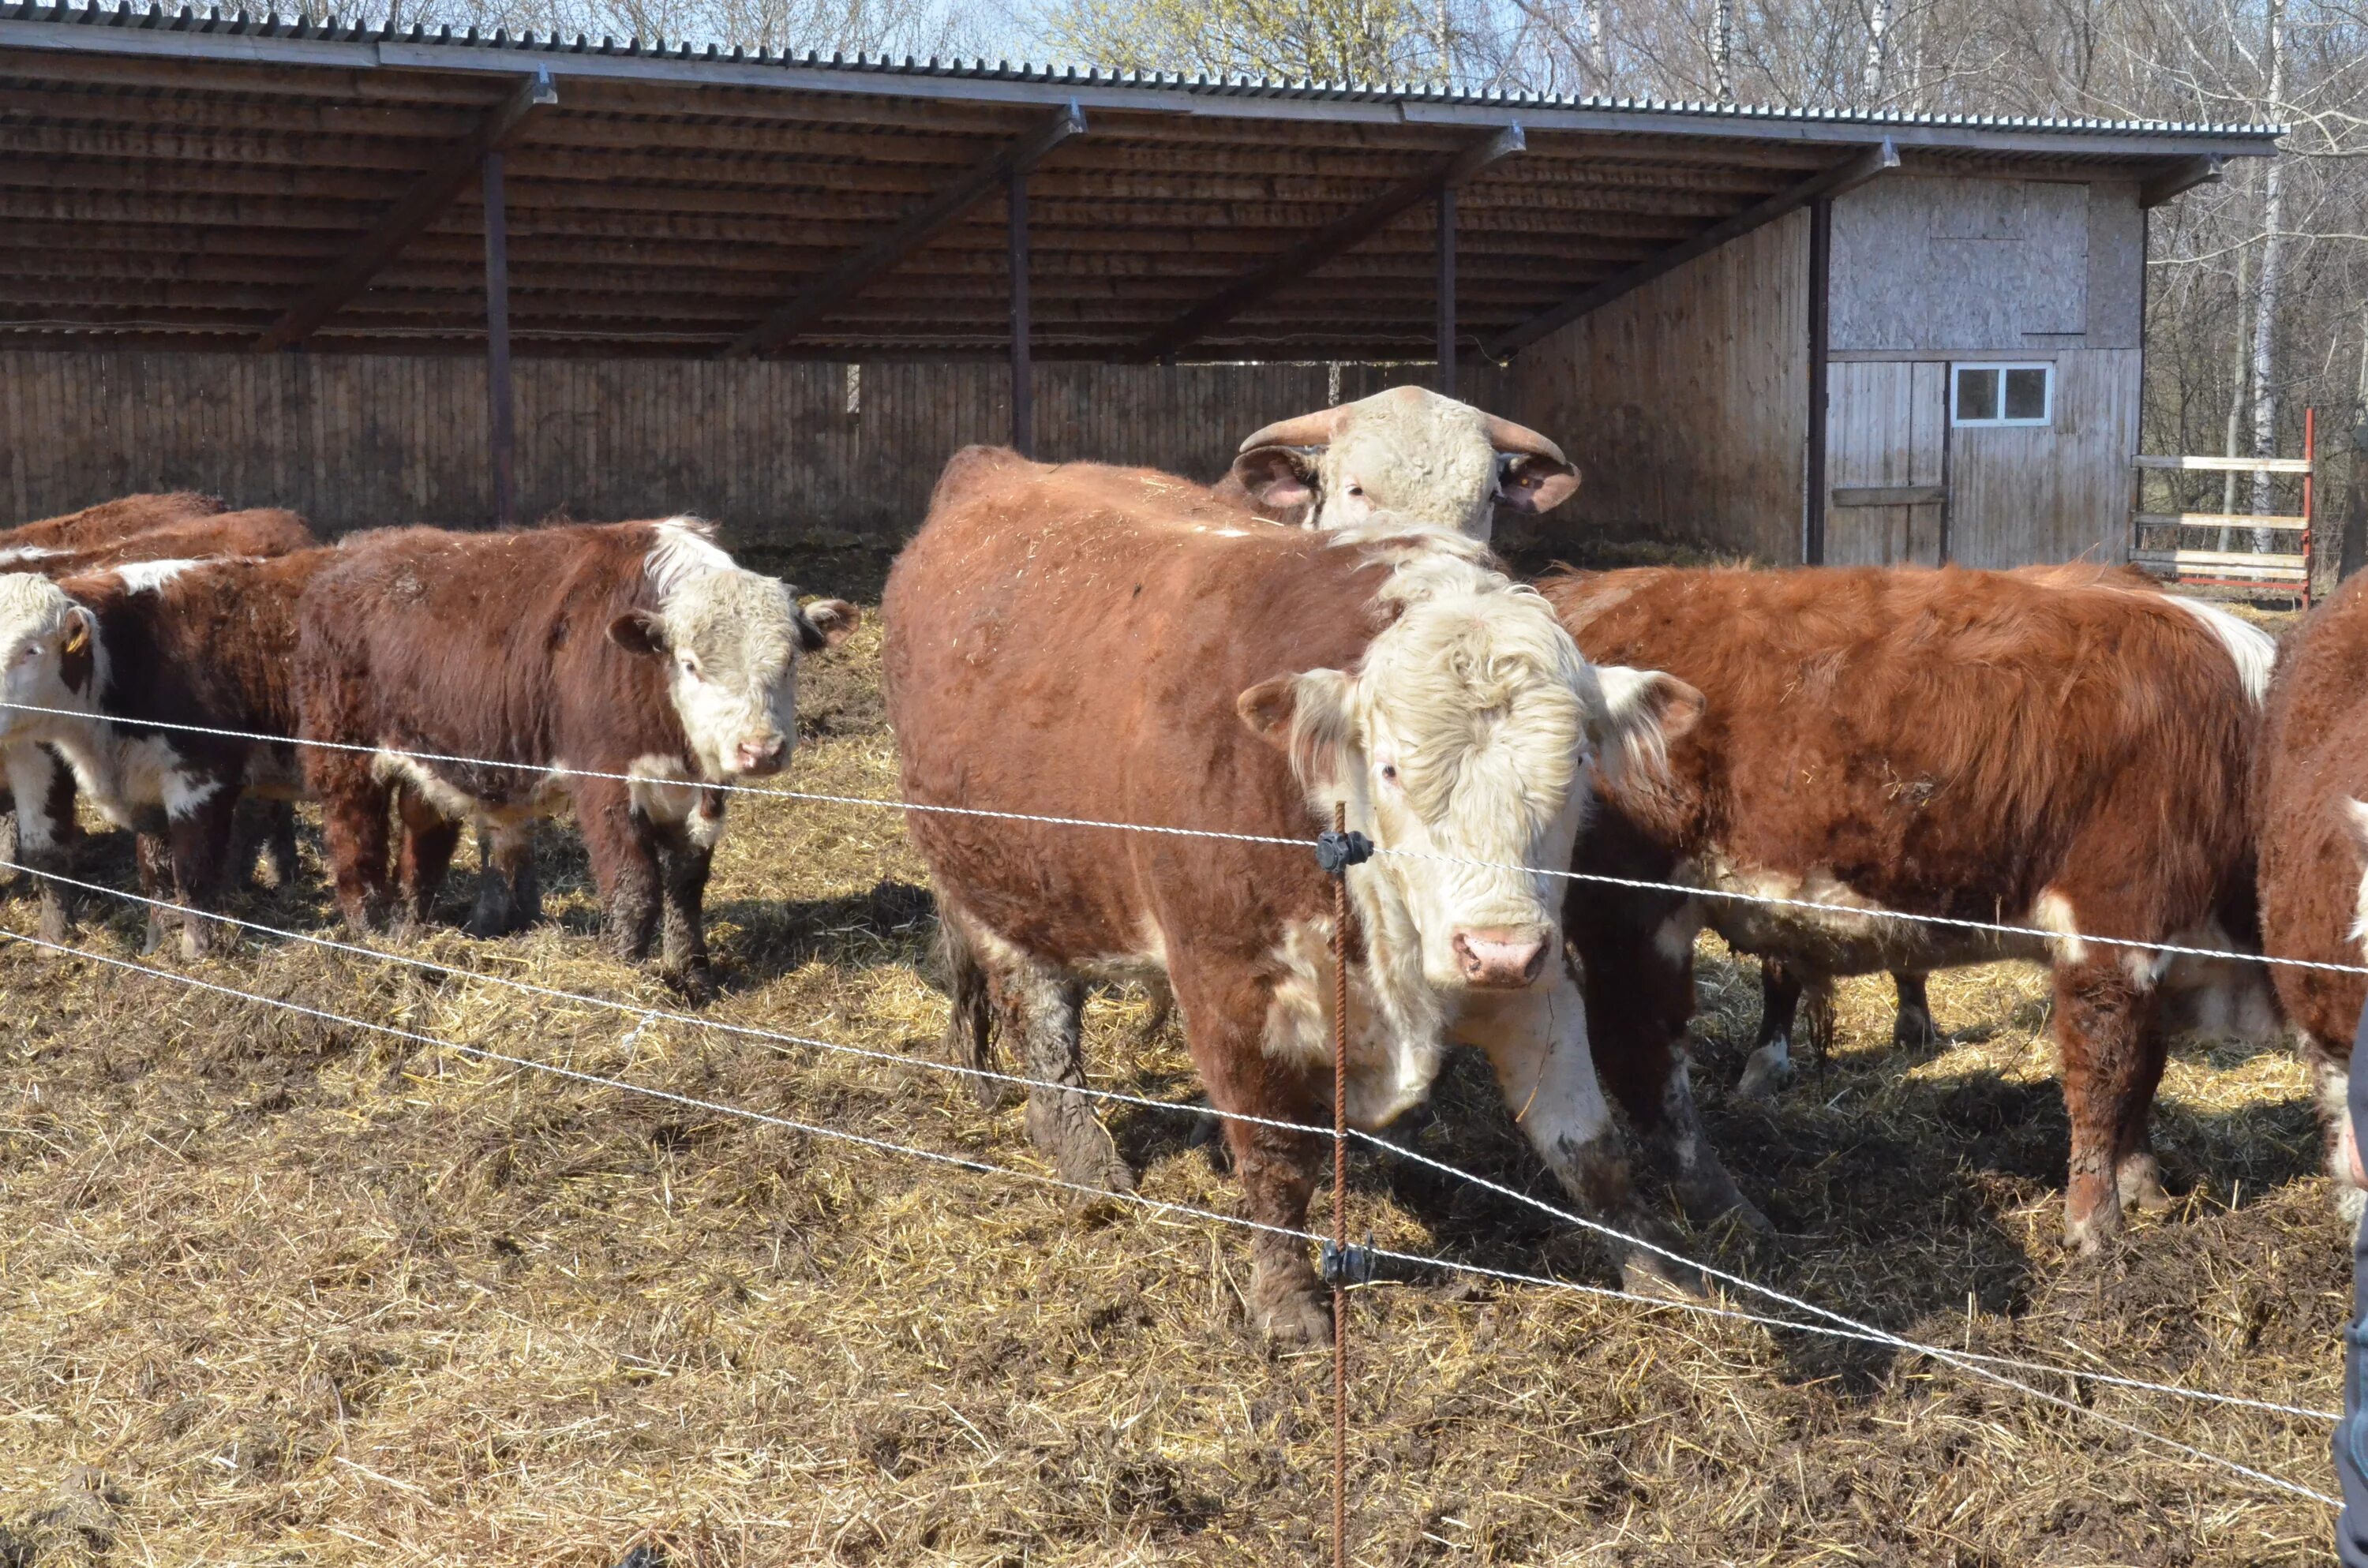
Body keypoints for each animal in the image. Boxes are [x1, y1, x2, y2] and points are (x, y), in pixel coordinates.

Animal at [291, 521, 857, 999]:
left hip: (430, 757)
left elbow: (686, 885)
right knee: (354, 837)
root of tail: (349, 555)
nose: (760, 750)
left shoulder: (702, 795)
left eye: (789, 660)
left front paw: (692, 974)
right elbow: (634, 888)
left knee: (423, 842)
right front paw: (624, 973)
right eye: (691, 664)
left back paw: (425, 929)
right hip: (344, 753)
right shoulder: (605, 783)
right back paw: (372, 932)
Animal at [881, 447, 1695, 1345]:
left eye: (1578, 762)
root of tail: (995, 465)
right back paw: (1079, 1148)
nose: (1496, 950)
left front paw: (1670, 1283)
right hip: (999, 877)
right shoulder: (1226, 987)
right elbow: (1275, 1158)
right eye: (1391, 768)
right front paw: (1290, 1303)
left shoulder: (1539, 983)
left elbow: (1591, 1151)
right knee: (1041, 1005)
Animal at [1534, 566, 2273, 1250]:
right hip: (1633, 911)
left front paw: (2145, 1184)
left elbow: (2145, 1072)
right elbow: (2104, 1077)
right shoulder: (2107, 930)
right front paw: (2096, 1227)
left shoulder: (2160, 953)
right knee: (1643, 1057)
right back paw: (1731, 1208)